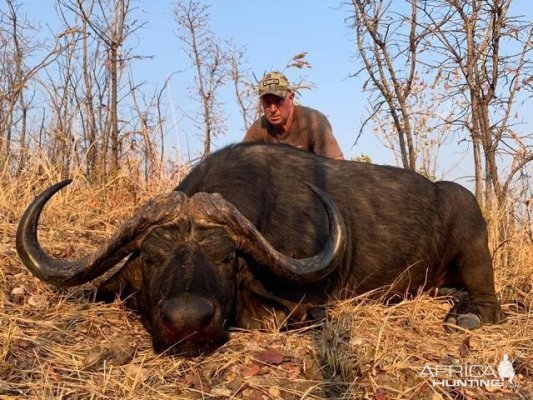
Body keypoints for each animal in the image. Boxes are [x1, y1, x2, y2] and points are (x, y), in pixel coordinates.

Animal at [14, 142, 500, 354]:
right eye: (151, 259)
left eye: (227, 259)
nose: (187, 322)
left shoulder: (308, 306)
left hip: (474, 243)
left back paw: (465, 315)